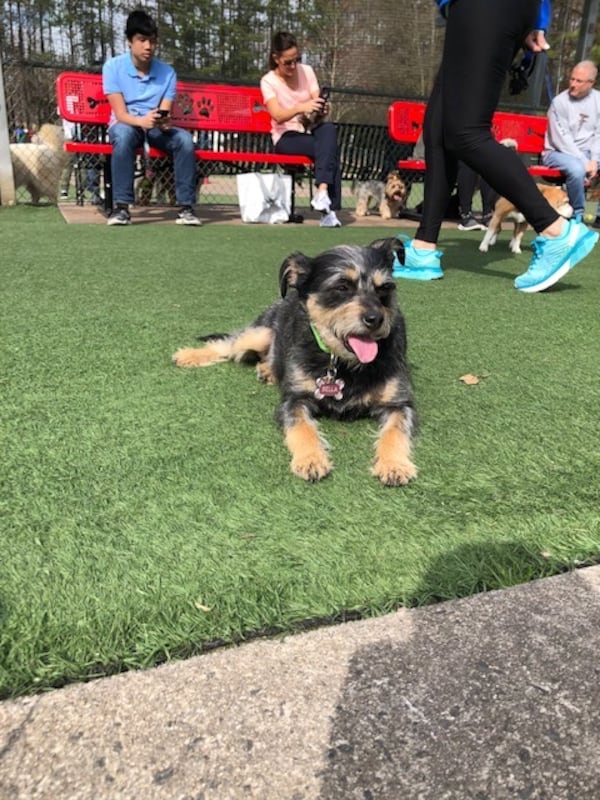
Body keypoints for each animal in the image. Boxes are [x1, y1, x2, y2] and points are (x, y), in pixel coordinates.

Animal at [172, 236, 418, 488]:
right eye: (341, 287)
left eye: (385, 288)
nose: (376, 319)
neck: (342, 363)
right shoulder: (293, 399)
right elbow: (301, 427)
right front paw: (311, 459)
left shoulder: (400, 404)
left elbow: (396, 430)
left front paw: (394, 464)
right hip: (259, 333)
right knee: (228, 344)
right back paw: (189, 355)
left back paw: (267, 370)